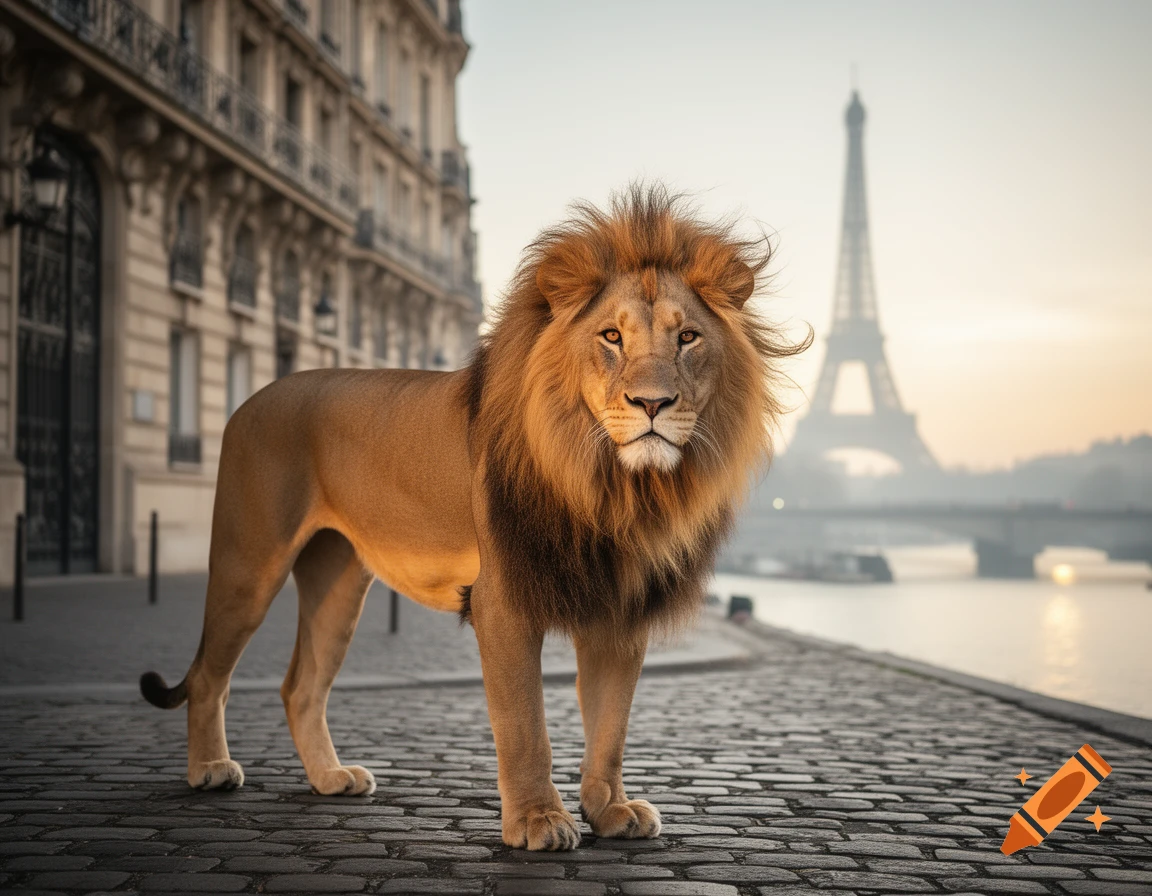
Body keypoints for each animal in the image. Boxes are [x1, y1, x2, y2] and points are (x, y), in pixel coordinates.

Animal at [140, 184, 807, 851]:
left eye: (688, 337)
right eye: (612, 337)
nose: (652, 403)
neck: (612, 486)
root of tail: (249, 400)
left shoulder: (617, 609)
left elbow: (611, 727)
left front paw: (610, 810)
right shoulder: (503, 602)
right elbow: (525, 725)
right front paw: (539, 821)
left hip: (339, 584)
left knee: (299, 687)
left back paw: (331, 779)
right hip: (249, 566)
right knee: (209, 676)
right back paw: (210, 769)